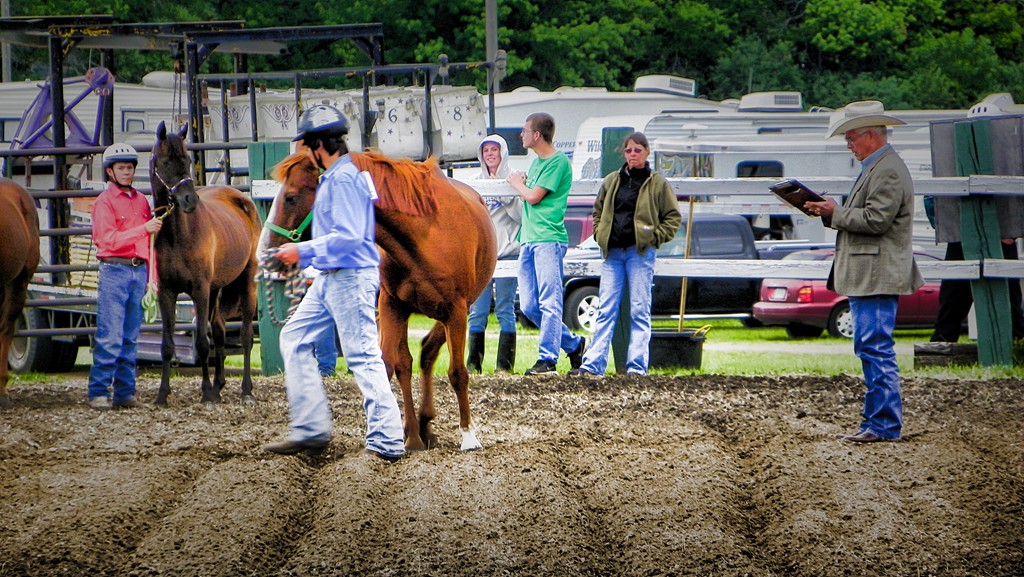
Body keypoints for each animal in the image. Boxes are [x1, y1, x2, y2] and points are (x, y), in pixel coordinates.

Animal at [150, 121, 261, 407]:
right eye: (165, 161)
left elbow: (201, 342)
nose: (189, 200)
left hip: (245, 282)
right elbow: (166, 345)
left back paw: (246, 391)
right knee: (220, 330)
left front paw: (206, 394)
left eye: (188, 160)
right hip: (216, 289)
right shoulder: (167, 293)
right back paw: (220, 384)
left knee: (245, 336)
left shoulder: (199, 290)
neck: (179, 235)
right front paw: (162, 394)